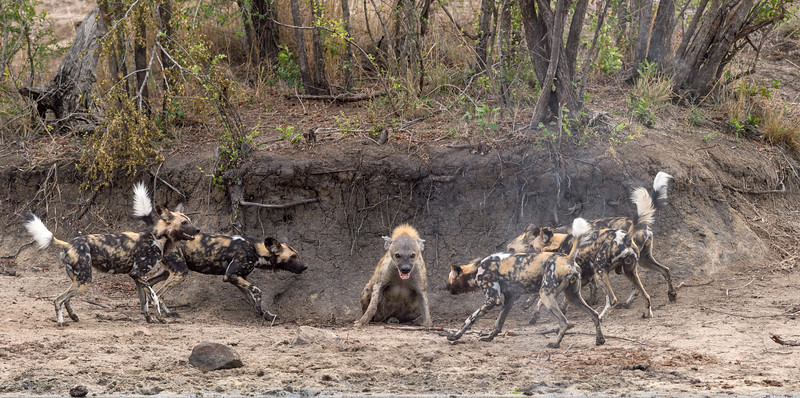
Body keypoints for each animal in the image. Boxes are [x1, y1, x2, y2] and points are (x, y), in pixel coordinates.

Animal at [24, 183, 199, 326]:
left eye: (189, 220)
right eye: (184, 223)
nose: (198, 230)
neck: (157, 238)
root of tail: (68, 244)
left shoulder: (136, 276)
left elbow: (144, 302)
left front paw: (149, 319)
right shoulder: (139, 274)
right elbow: (154, 298)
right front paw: (160, 318)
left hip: (79, 280)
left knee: (66, 299)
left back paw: (73, 316)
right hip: (85, 280)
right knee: (58, 299)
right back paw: (61, 322)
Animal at [131, 183, 306, 320]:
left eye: (297, 255)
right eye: (293, 257)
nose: (305, 267)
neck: (255, 249)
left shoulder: (238, 278)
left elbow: (252, 298)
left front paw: (264, 314)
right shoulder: (231, 275)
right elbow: (258, 291)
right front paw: (261, 313)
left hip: (170, 272)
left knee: (150, 284)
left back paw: (147, 309)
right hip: (181, 272)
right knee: (160, 293)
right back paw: (166, 314)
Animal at [446, 218, 604, 348]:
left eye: (450, 280)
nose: (446, 287)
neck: (477, 269)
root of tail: (567, 259)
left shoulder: (492, 300)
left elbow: (470, 319)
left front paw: (455, 336)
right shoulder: (510, 299)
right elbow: (498, 323)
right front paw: (489, 337)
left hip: (546, 295)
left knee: (564, 322)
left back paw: (555, 344)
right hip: (573, 296)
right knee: (594, 314)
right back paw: (600, 340)